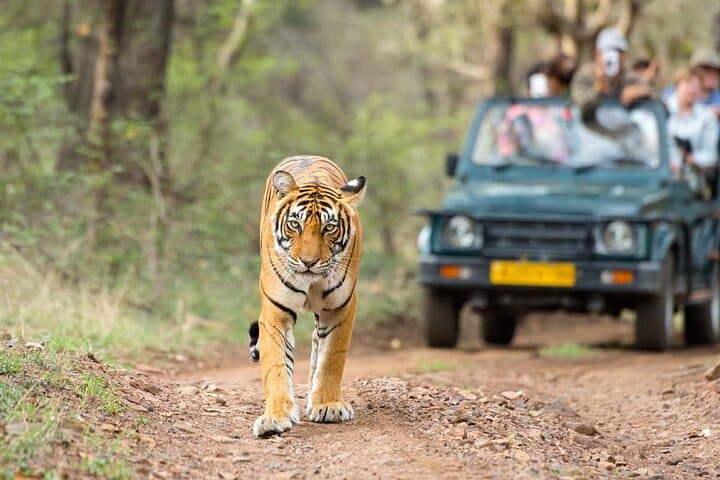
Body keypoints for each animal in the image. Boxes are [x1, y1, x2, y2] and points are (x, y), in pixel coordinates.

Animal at [249, 155, 366, 437]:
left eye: (329, 227)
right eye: (295, 224)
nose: (309, 262)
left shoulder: (341, 308)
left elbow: (332, 357)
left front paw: (328, 405)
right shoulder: (275, 312)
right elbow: (276, 365)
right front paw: (275, 417)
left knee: (317, 343)